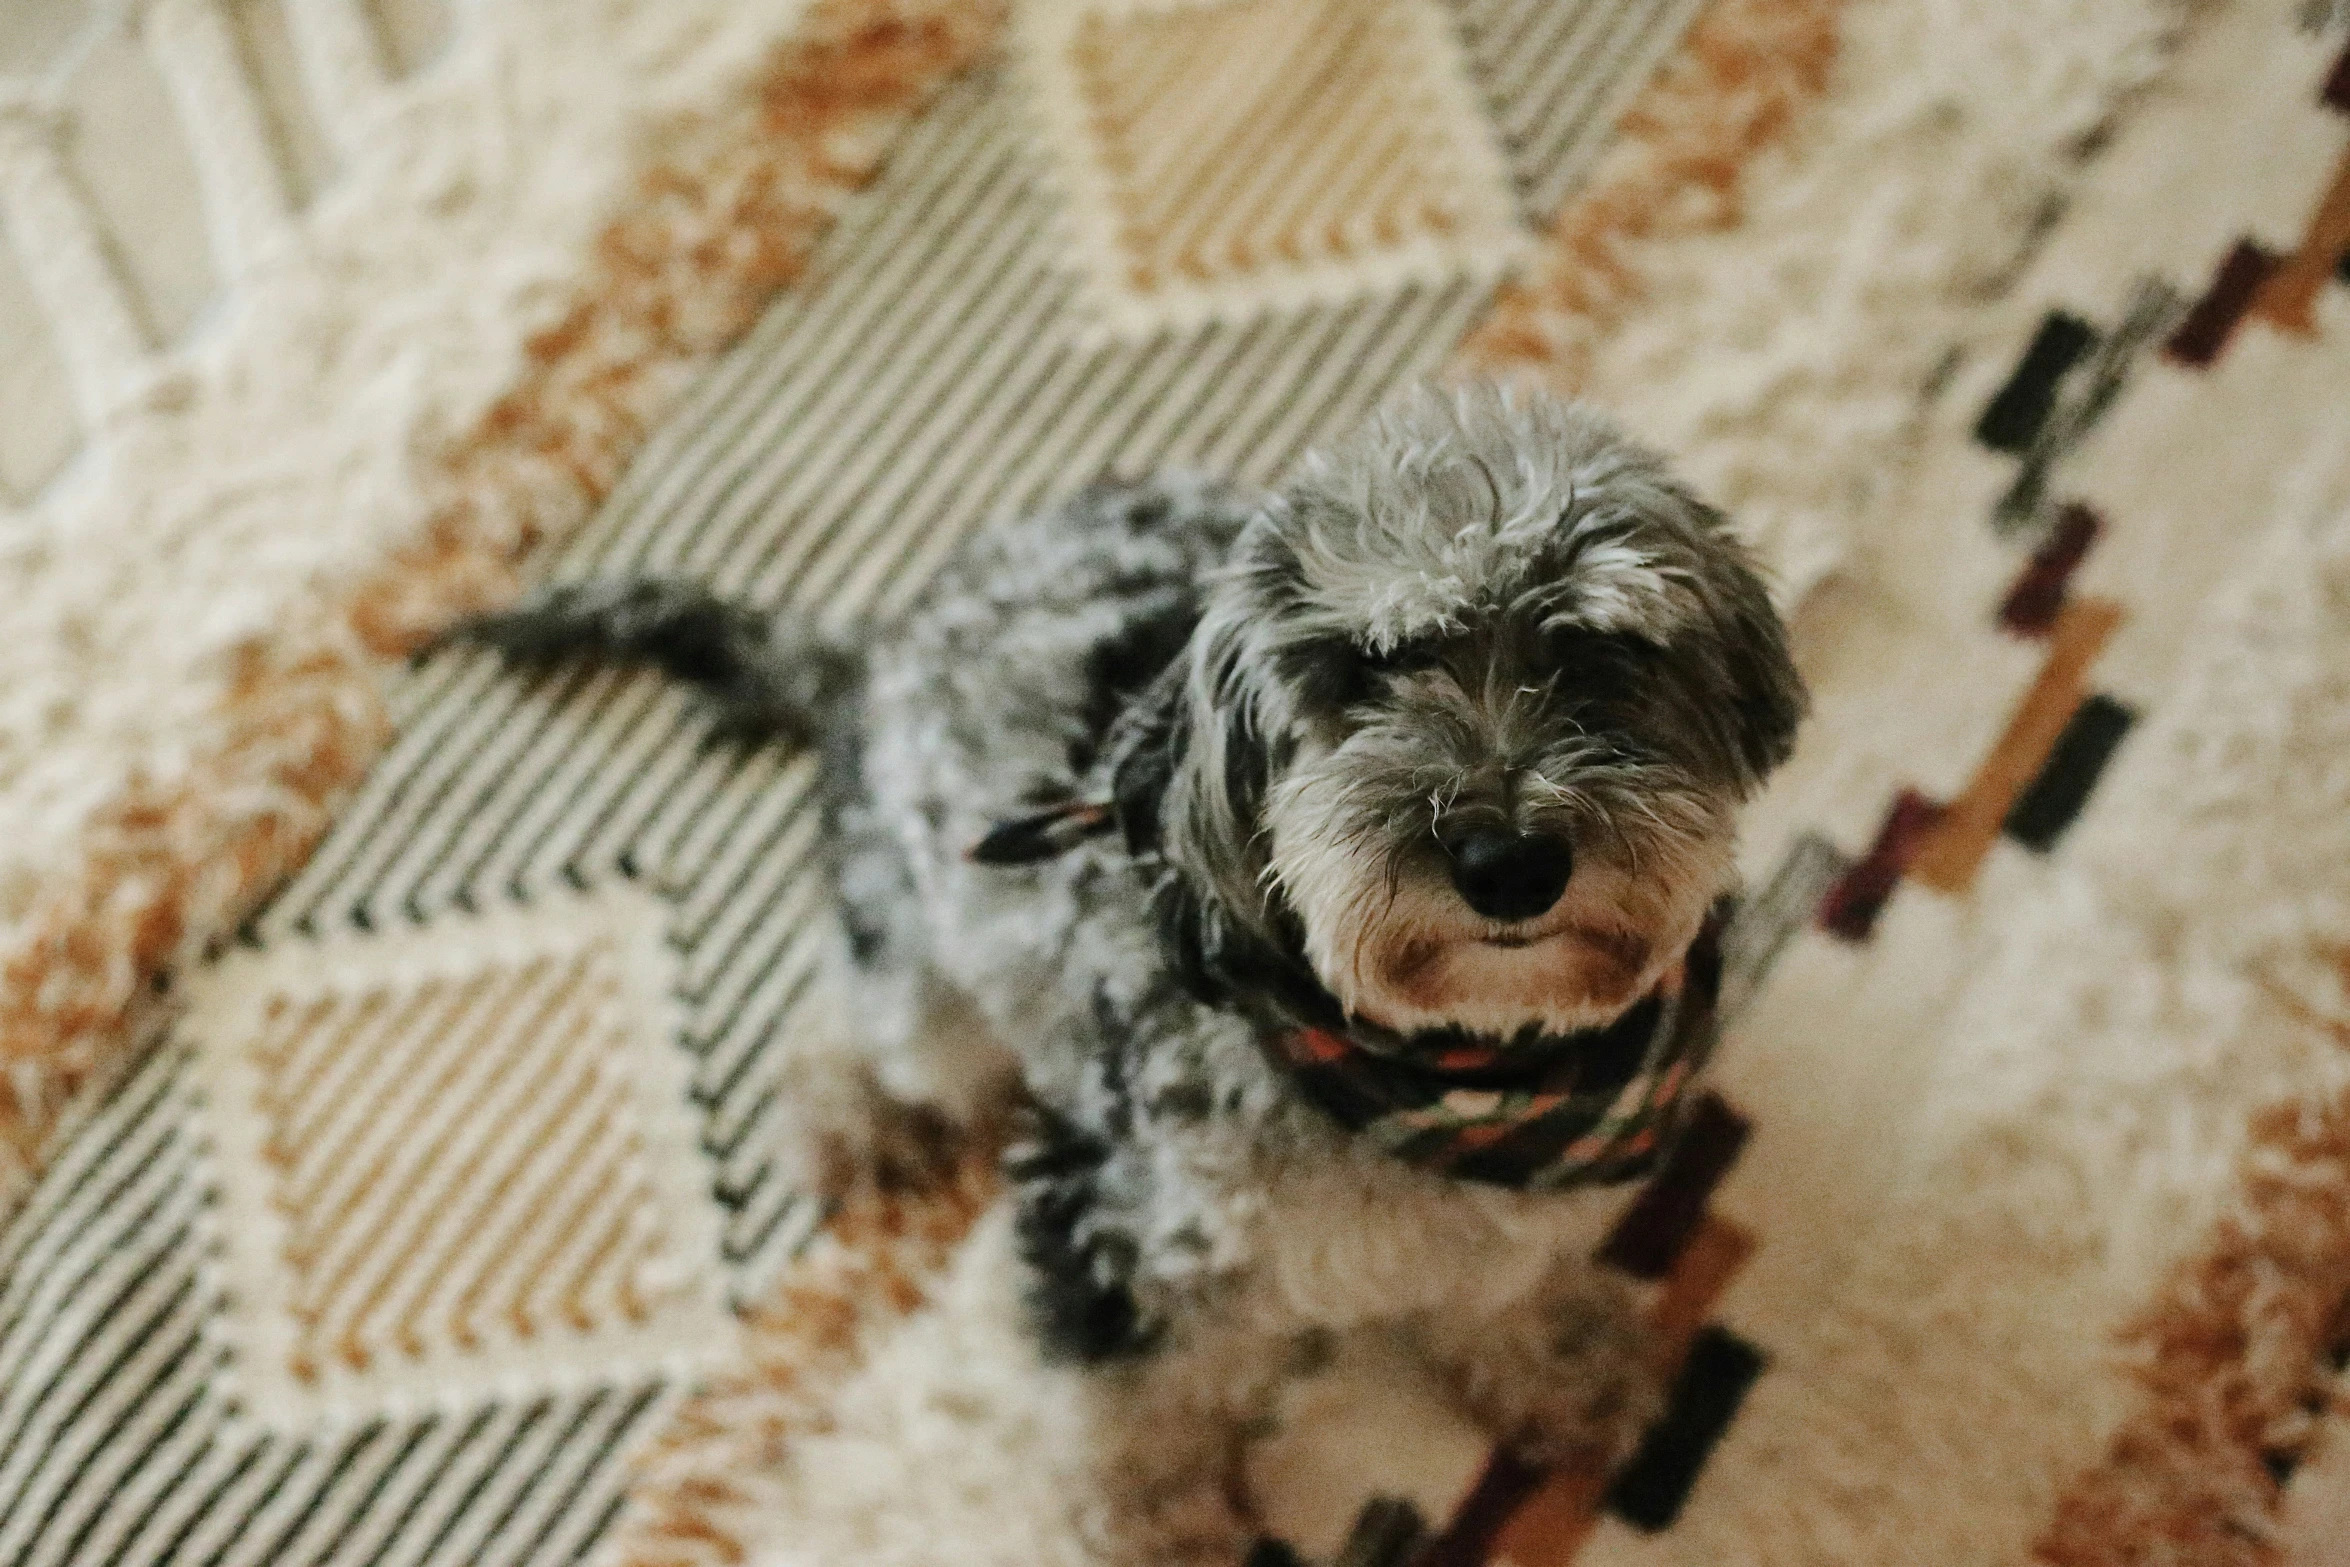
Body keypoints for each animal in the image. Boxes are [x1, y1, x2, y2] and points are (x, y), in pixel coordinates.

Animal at [467, 382, 1804, 1559]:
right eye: (1359, 674)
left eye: (1596, 652)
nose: (1507, 859)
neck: (1450, 1069)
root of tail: (877, 641)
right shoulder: (1104, 1208)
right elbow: (1133, 1405)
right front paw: (1154, 1520)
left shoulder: (1517, 1202)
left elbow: (1507, 1284)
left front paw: (1567, 1366)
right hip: (930, 977)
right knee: (852, 1009)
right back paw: (858, 1120)